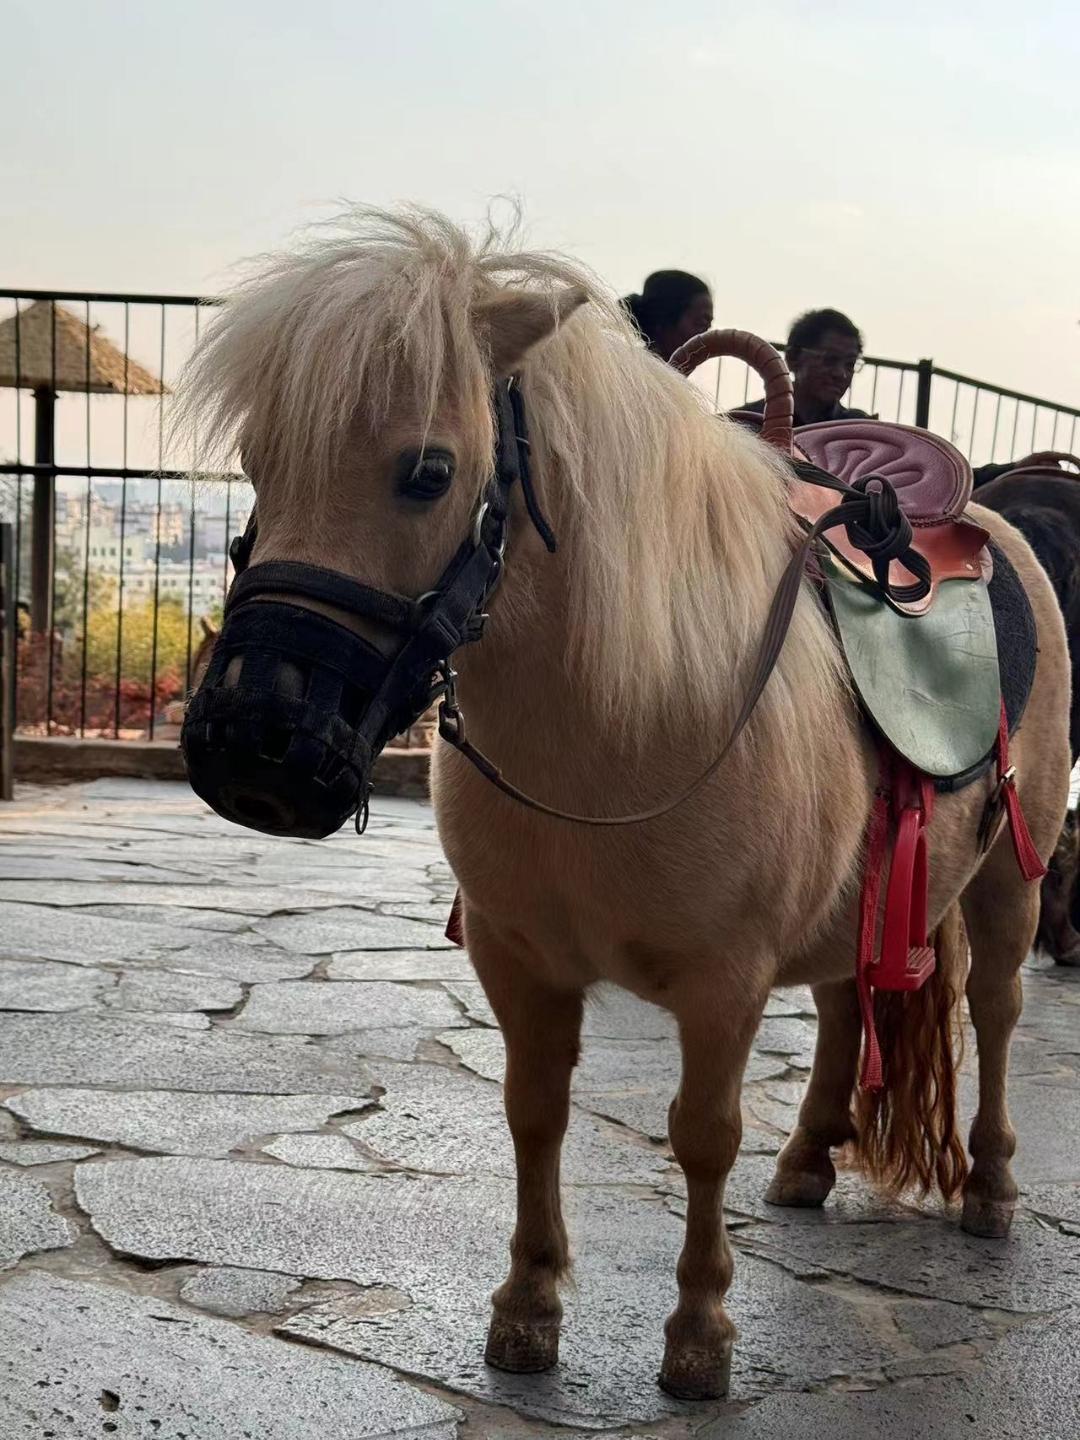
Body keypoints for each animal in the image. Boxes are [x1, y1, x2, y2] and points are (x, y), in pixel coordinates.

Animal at [176, 208, 1070, 1401]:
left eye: (428, 472)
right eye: (258, 464)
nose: (252, 744)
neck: (620, 724)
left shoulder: (725, 983)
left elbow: (702, 1133)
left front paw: (699, 1334)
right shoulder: (517, 962)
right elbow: (533, 1111)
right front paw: (527, 1306)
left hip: (1012, 875)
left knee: (999, 1007)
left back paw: (993, 1186)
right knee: (846, 1004)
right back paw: (808, 1155)